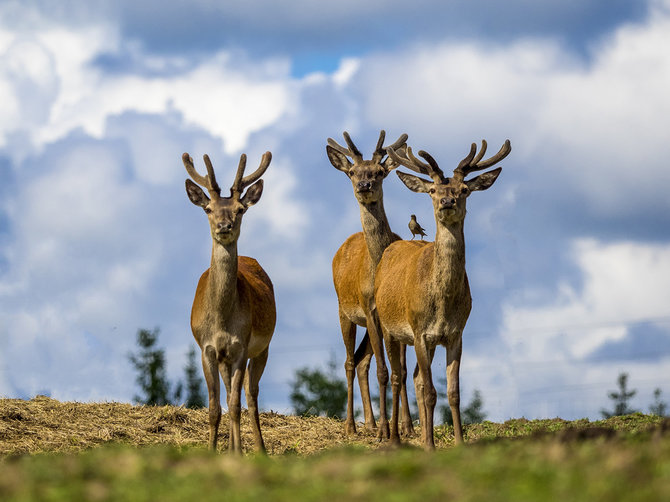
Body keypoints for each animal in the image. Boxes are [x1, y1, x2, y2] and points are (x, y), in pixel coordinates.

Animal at [182, 151, 276, 452]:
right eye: (208, 209)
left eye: (240, 209)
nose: (225, 226)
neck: (222, 322)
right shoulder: (207, 349)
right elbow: (214, 408)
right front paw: (214, 452)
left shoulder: (241, 346)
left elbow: (235, 405)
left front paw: (239, 454)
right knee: (228, 395)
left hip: (263, 348)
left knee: (250, 396)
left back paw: (259, 449)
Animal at [328, 130, 418, 440]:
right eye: (352, 172)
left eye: (379, 172)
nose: (364, 185)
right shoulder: (369, 308)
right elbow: (384, 369)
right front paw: (386, 433)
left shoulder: (393, 316)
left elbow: (401, 369)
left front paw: (406, 427)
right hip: (345, 311)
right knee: (349, 361)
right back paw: (351, 426)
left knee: (361, 361)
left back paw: (370, 422)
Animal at [376, 137, 512, 448]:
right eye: (432, 190)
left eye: (464, 190)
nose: (447, 202)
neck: (442, 303)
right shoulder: (419, 331)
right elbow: (429, 391)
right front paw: (429, 446)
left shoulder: (455, 334)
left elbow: (453, 392)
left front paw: (457, 443)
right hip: (389, 327)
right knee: (398, 377)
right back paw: (395, 439)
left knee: (415, 378)